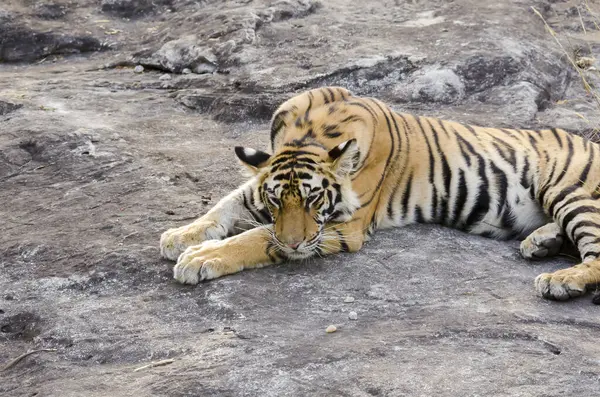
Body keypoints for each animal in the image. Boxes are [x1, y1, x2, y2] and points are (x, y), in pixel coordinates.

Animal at [158, 85, 600, 298]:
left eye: (314, 199)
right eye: (276, 201)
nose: (297, 243)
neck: (309, 133)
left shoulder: (344, 226)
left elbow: (258, 237)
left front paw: (199, 258)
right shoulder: (265, 184)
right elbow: (227, 204)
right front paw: (180, 236)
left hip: (570, 191)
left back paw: (560, 280)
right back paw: (540, 242)